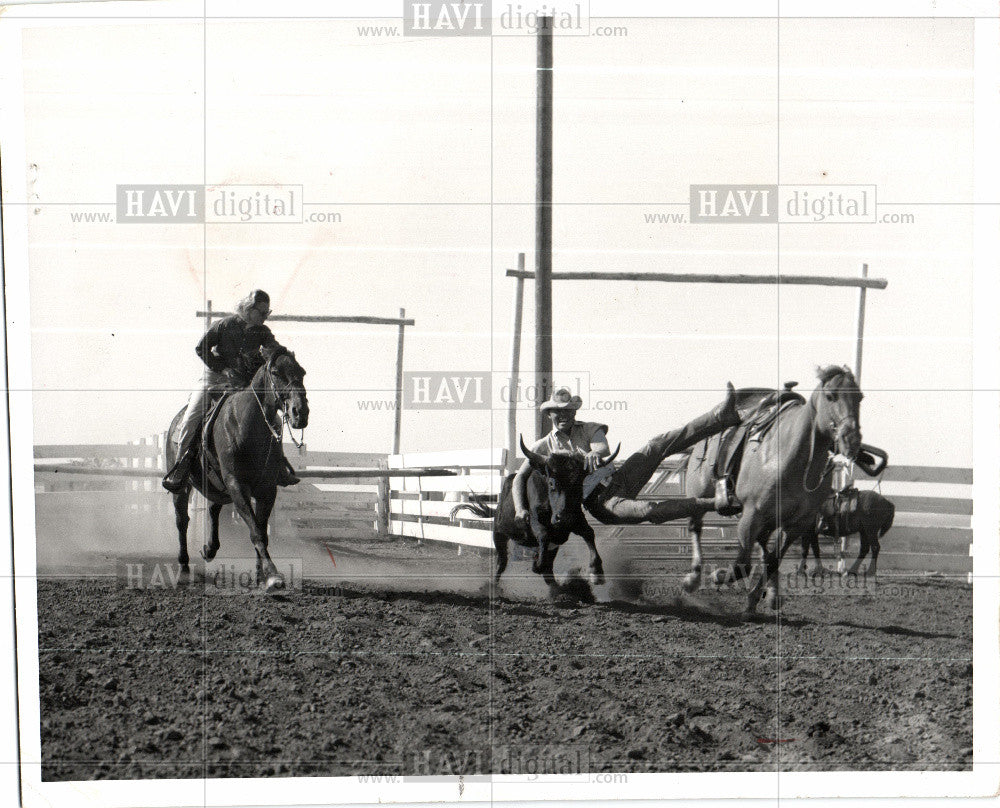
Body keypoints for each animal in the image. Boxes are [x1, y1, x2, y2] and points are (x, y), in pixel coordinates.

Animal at [168, 348, 308, 592]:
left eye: (302, 372)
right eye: (275, 372)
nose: (300, 412)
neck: (246, 425)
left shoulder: (266, 490)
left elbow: (261, 532)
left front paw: (261, 576)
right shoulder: (237, 485)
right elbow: (256, 532)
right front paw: (273, 575)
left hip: (218, 486)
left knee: (213, 508)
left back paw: (209, 549)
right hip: (183, 486)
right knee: (182, 520)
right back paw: (184, 569)